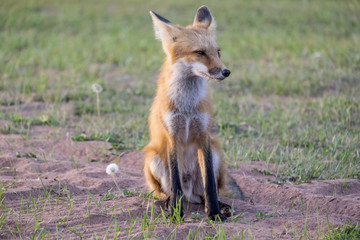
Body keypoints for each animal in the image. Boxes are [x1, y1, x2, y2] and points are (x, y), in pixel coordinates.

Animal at [142, 5, 243, 221]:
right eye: (200, 52)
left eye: (218, 52)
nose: (226, 72)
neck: (187, 107)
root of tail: (190, 195)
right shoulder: (172, 135)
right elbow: (176, 183)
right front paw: (175, 213)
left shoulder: (203, 134)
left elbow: (210, 185)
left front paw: (214, 213)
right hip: (153, 159)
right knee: (167, 192)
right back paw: (169, 204)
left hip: (215, 152)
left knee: (203, 192)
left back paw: (220, 207)